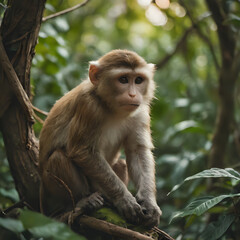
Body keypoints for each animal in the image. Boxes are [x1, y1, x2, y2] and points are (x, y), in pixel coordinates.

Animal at [38, 49, 162, 229]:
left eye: (138, 80)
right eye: (123, 79)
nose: (133, 94)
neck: (110, 106)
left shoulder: (140, 111)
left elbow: (138, 150)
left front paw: (150, 204)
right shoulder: (89, 106)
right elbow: (82, 151)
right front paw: (124, 199)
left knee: (121, 163)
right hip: (49, 194)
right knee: (58, 157)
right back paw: (81, 203)